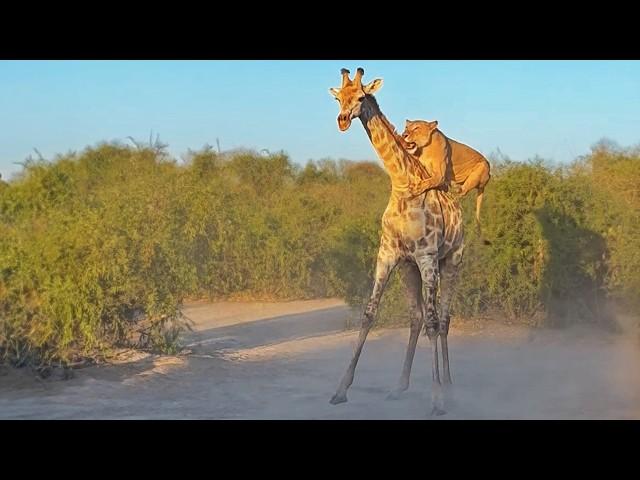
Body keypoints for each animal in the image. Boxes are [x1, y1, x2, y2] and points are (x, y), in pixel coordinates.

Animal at [328, 65, 462, 414]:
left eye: (361, 97)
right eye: (339, 97)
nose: (343, 120)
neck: (403, 185)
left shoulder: (428, 257)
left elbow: (433, 322)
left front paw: (437, 399)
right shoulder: (388, 255)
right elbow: (368, 314)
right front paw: (340, 389)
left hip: (452, 262)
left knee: (442, 319)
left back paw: (450, 386)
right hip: (409, 269)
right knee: (416, 317)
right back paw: (399, 387)